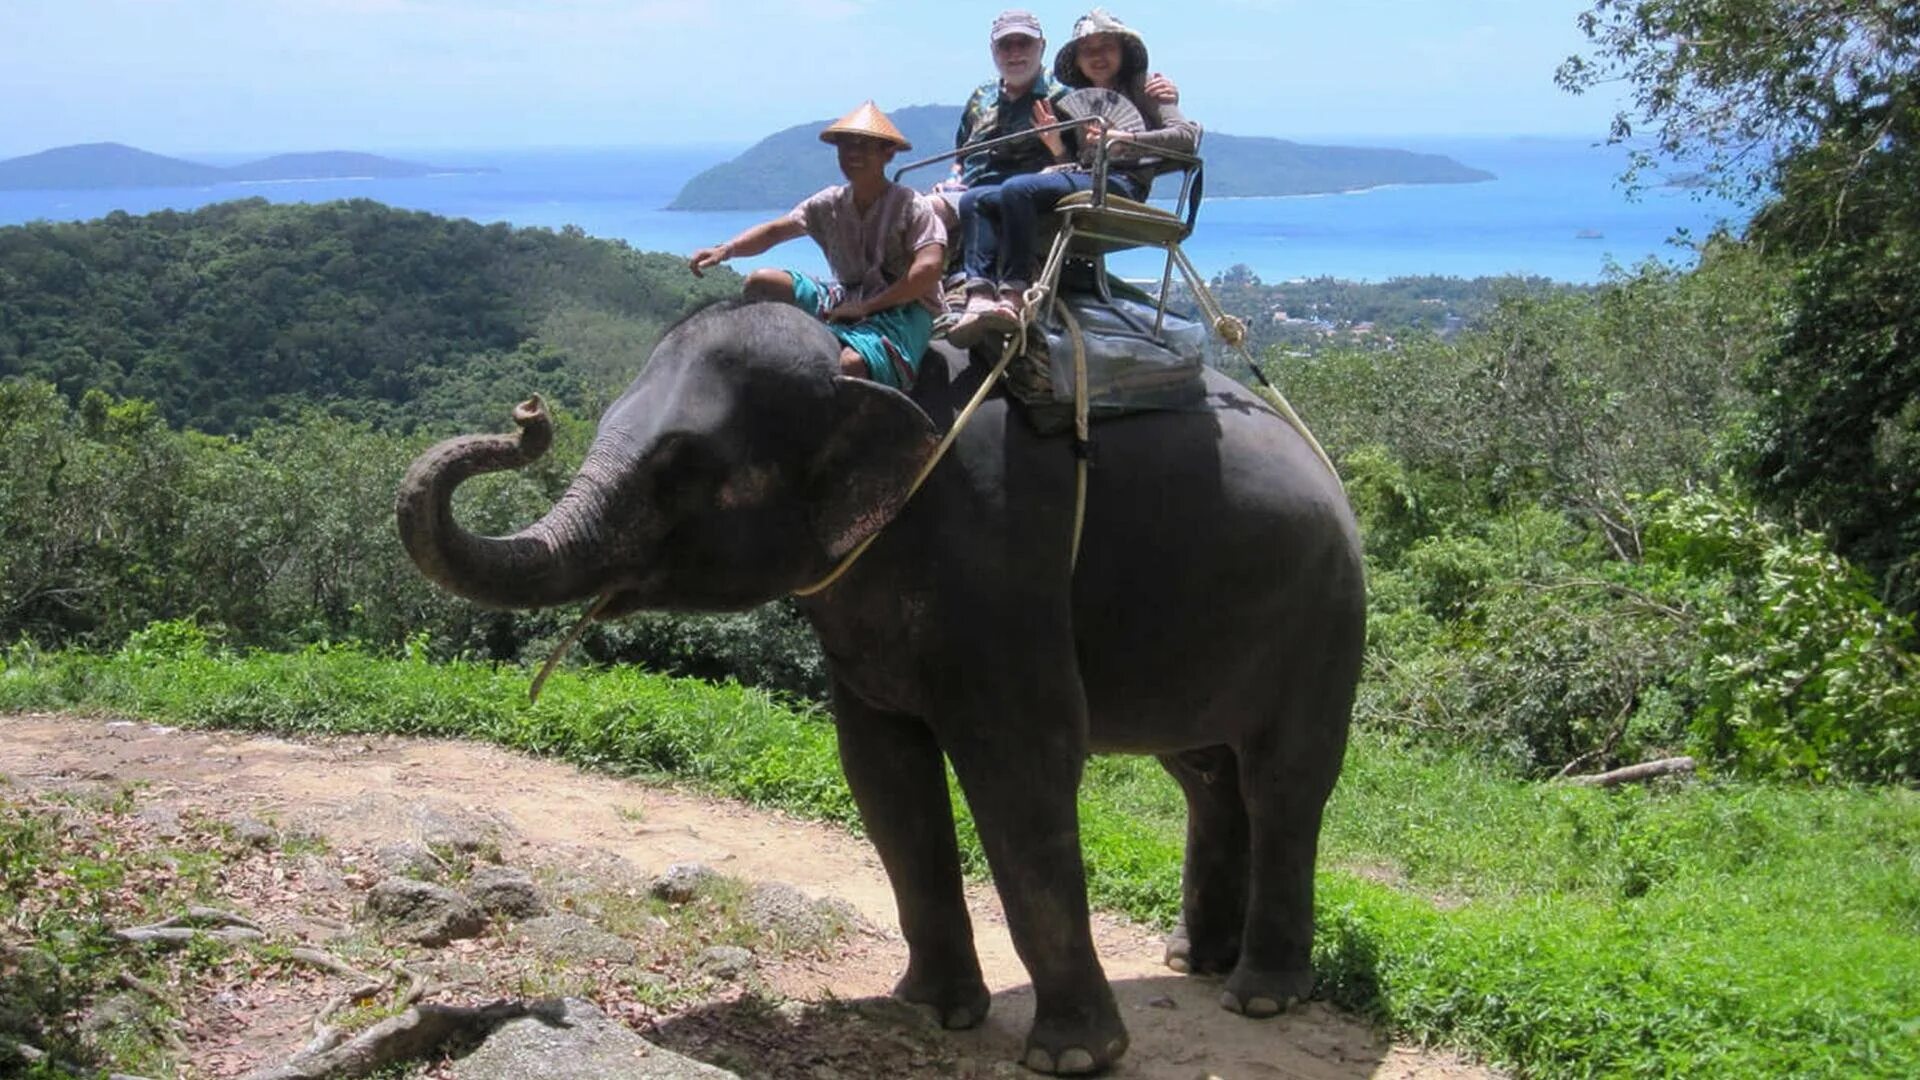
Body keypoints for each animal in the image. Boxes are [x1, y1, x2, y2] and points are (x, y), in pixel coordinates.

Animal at [393, 297, 1367, 1068]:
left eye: (682, 467)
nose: (527, 416)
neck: (857, 365)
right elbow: (882, 774)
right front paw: (931, 1011)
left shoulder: (1003, 562)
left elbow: (1022, 777)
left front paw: (1073, 1057)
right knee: (1205, 775)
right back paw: (1191, 961)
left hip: (1327, 617)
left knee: (1284, 782)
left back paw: (1261, 993)